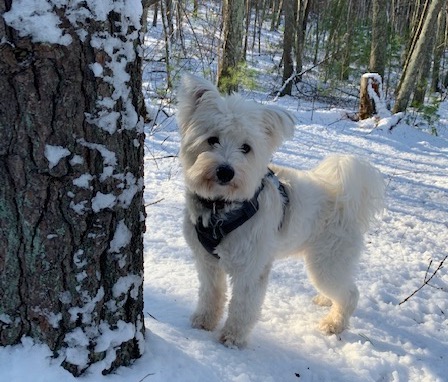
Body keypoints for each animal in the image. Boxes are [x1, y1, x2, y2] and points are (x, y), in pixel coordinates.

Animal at [175, 74, 384, 350]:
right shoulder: (207, 262)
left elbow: (242, 306)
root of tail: (342, 194)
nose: (226, 172)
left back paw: (333, 324)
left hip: (327, 261)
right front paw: (204, 321)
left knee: (350, 293)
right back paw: (325, 301)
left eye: (246, 147)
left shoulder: (251, 268)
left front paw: (232, 339)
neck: (221, 208)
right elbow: (212, 294)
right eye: (212, 139)